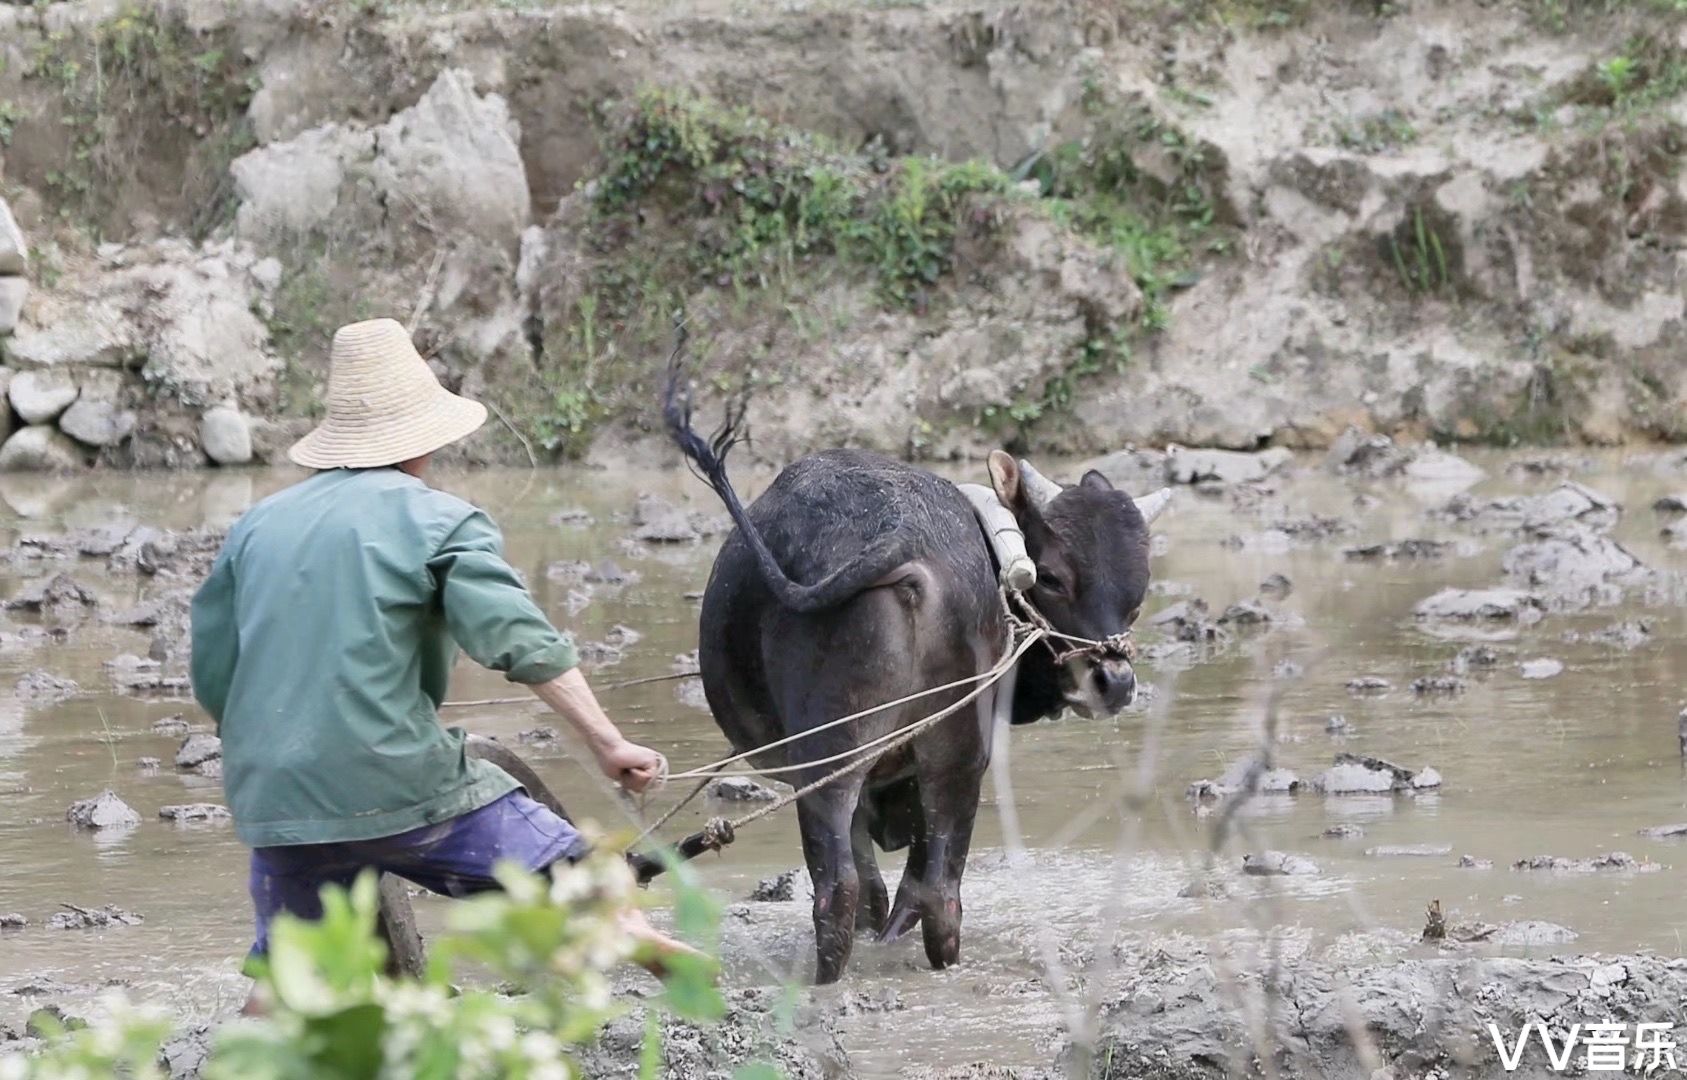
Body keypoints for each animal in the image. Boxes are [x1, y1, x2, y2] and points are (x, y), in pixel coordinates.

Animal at [664, 381, 1167, 985]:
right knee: (937, 893)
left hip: (833, 755)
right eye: (1051, 578)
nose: (1113, 682)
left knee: (847, 889)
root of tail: (901, 536)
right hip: (952, 753)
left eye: (1137, 594)